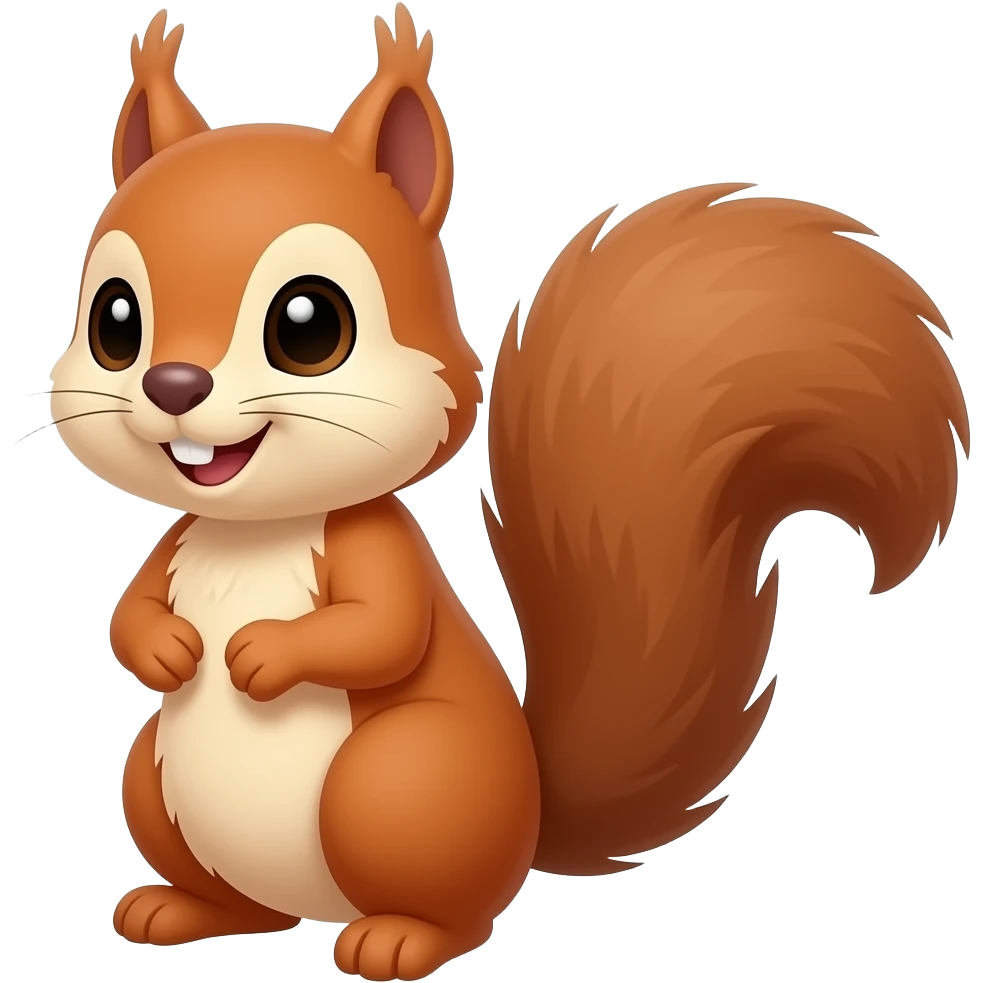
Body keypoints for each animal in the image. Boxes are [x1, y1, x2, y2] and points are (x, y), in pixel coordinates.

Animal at [46, 5, 969, 979]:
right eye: (114, 321)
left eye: (309, 324)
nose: (173, 385)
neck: (257, 528)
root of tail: (528, 824)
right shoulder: (177, 542)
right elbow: (129, 611)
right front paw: (168, 648)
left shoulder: (380, 552)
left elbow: (380, 629)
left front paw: (261, 651)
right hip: (154, 776)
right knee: (245, 900)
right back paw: (181, 907)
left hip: (397, 777)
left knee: (456, 909)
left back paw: (399, 937)